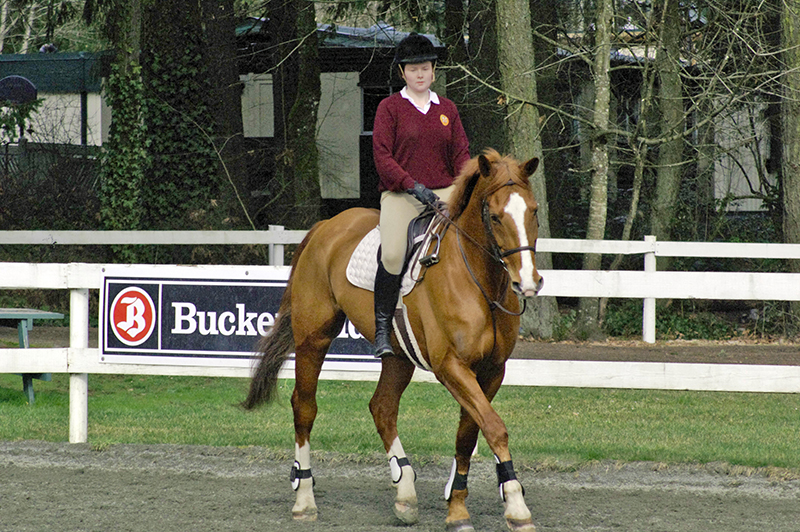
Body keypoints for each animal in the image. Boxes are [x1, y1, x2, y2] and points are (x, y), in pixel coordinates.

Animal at [243, 149, 543, 532]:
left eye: (533, 211)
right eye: (494, 216)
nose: (528, 282)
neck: (480, 281)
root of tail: (326, 226)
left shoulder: (491, 371)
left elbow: (469, 434)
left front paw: (458, 507)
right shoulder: (451, 366)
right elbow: (493, 427)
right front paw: (516, 506)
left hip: (398, 356)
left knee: (382, 407)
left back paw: (405, 493)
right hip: (314, 338)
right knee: (305, 407)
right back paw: (304, 499)